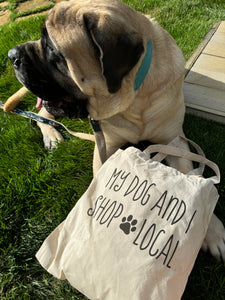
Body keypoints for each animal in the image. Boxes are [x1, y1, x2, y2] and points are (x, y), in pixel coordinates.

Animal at [7, 0, 225, 260]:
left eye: (51, 48)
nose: (11, 55)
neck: (133, 99)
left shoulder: (174, 141)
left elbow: (191, 175)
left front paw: (212, 231)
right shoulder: (106, 146)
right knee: (40, 113)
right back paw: (52, 136)